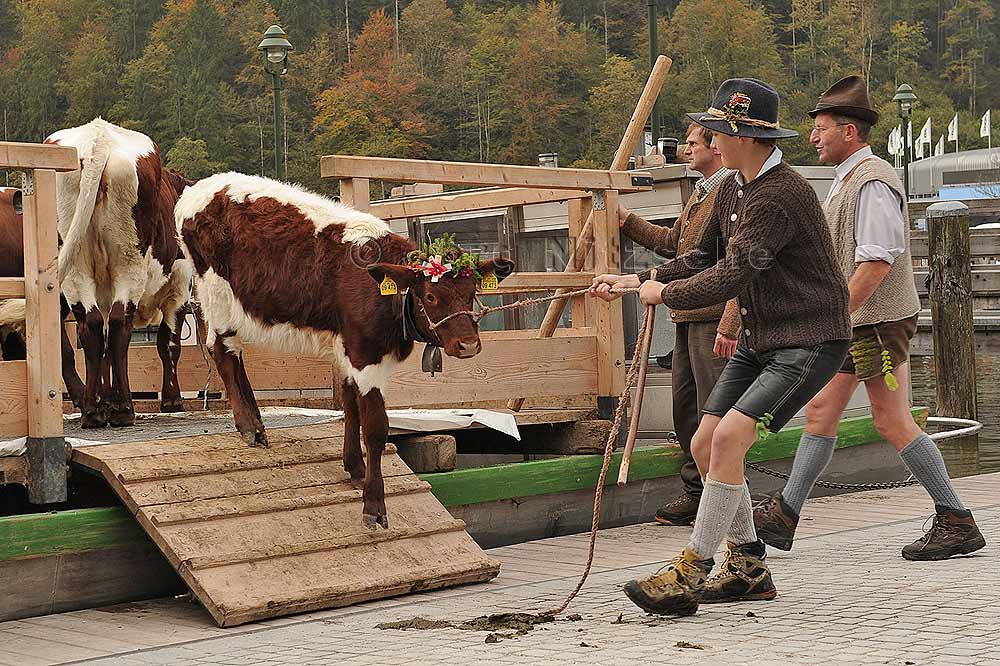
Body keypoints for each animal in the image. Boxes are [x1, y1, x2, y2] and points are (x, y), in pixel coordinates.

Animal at [46, 117, 194, 426]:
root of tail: (98, 138)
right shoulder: (180, 287)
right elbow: (169, 344)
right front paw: (172, 399)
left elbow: (103, 354)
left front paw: (106, 400)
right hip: (129, 261)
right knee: (117, 324)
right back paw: (124, 408)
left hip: (75, 267)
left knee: (89, 328)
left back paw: (92, 410)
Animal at [175, 172, 512, 528]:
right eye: (431, 297)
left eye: (472, 293)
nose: (468, 345)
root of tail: (202, 186)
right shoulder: (365, 354)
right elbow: (375, 427)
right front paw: (374, 504)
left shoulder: (349, 348)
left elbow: (350, 406)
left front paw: (355, 468)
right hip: (216, 295)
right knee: (222, 352)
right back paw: (248, 427)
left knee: (235, 355)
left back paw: (257, 422)